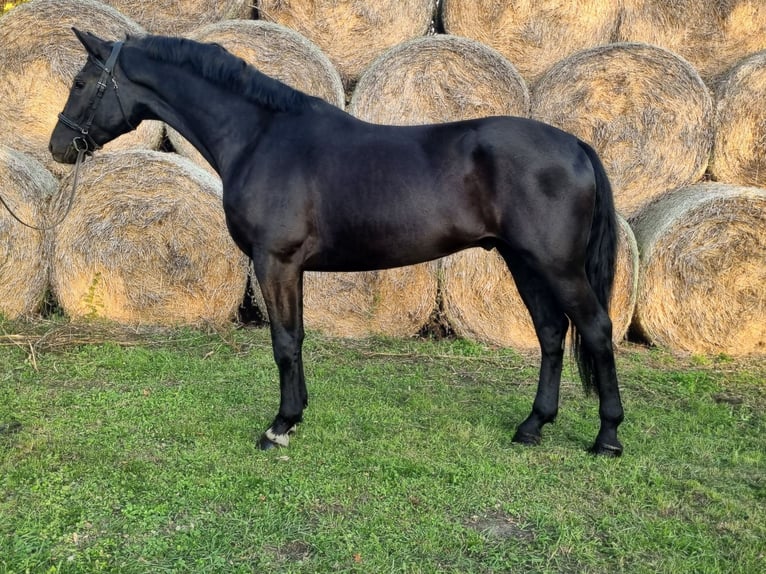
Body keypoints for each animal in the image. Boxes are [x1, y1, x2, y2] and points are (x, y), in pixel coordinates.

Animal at [46, 31, 624, 456]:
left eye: (81, 81)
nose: (58, 145)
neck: (262, 137)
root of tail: (575, 144)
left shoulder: (274, 262)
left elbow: (283, 342)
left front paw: (278, 427)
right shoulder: (289, 268)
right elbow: (296, 338)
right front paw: (296, 415)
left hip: (555, 265)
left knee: (595, 330)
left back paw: (607, 437)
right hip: (522, 261)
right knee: (551, 333)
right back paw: (532, 426)